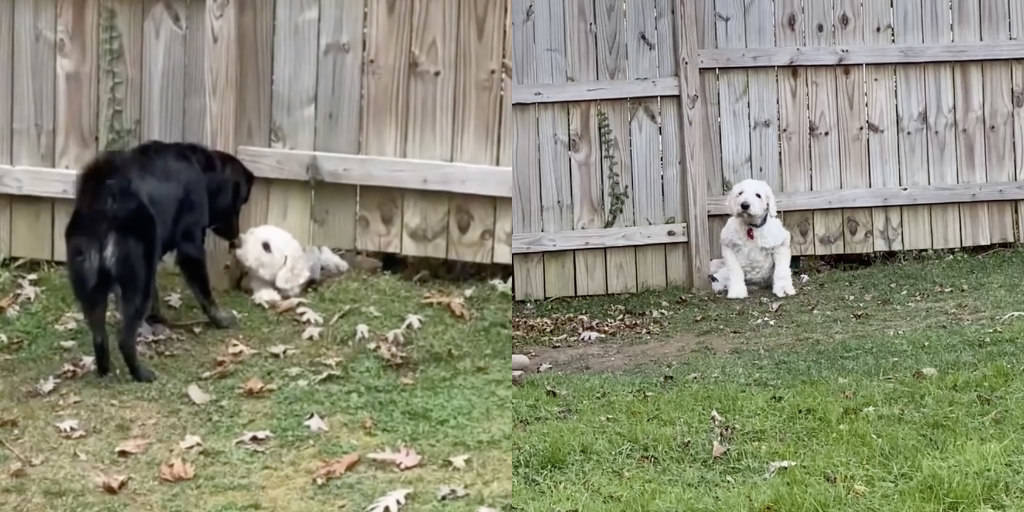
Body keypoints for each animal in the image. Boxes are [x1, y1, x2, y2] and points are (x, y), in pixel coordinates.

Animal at [65, 140, 254, 380]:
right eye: (241, 201)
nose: (236, 238)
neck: (202, 169)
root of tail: (103, 203)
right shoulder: (190, 246)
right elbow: (205, 294)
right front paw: (220, 319)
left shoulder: (152, 263)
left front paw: (157, 318)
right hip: (136, 282)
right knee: (124, 338)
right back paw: (141, 374)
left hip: (92, 289)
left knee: (99, 336)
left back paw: (105, 370)